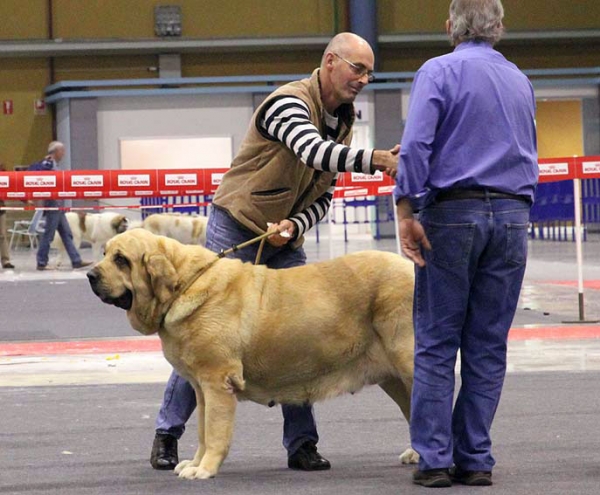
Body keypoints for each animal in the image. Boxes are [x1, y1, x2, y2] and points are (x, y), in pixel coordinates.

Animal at [86, 230, 418, 480]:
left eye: (121, 260)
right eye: (105, 253)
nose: (89, 274)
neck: (184, 284)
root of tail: (410, 268)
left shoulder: (217, 383)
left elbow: (215, 431)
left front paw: (205, 469)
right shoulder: (202, 389)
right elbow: (203, 429)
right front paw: (194, 463)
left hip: (408, 363)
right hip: (393, 379)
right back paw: (416, 453)